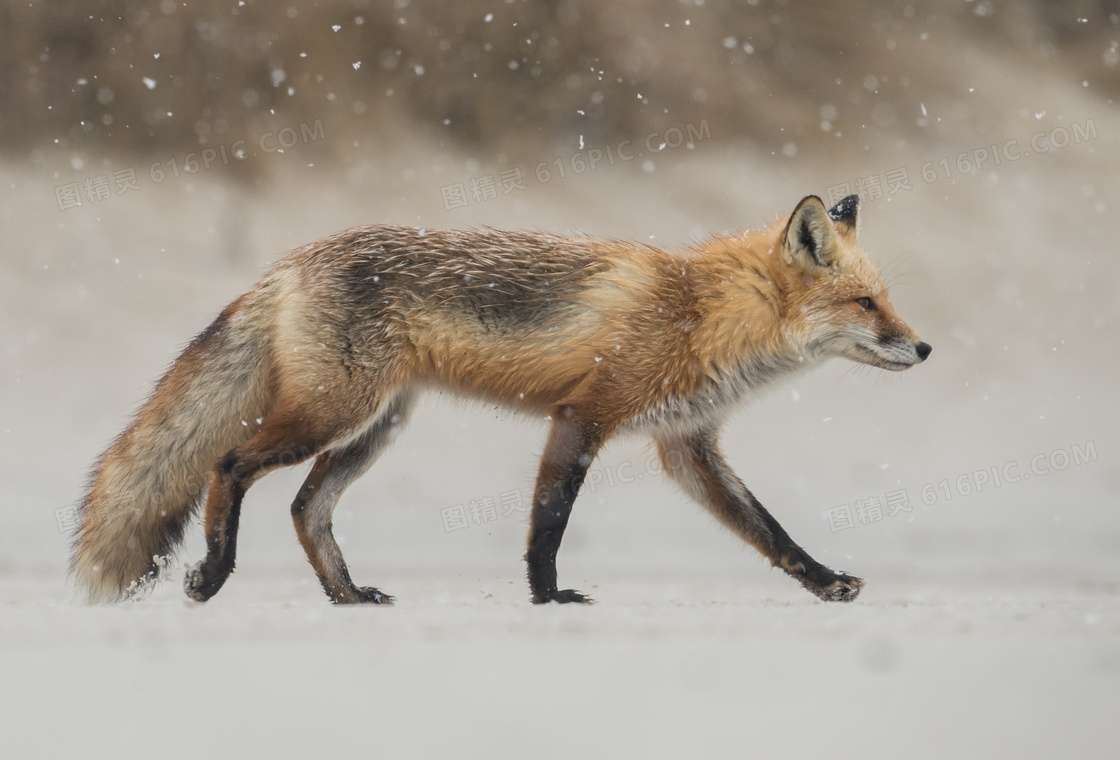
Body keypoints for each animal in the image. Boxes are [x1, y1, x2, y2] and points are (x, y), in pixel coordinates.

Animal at [67, 194, 927, 604]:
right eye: (865, 305)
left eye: (887, 299)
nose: (924, 349)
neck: (703, 313)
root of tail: (290, 260)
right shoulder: (585, 414)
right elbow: (549, 524)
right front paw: (549, 598)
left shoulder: (687, 446)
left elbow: (770, 531)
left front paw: (825, 583)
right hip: (330, 415)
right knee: (228, 463)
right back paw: (214, 573)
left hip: (376, 426)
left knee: (306, 509)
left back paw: (347, 597)